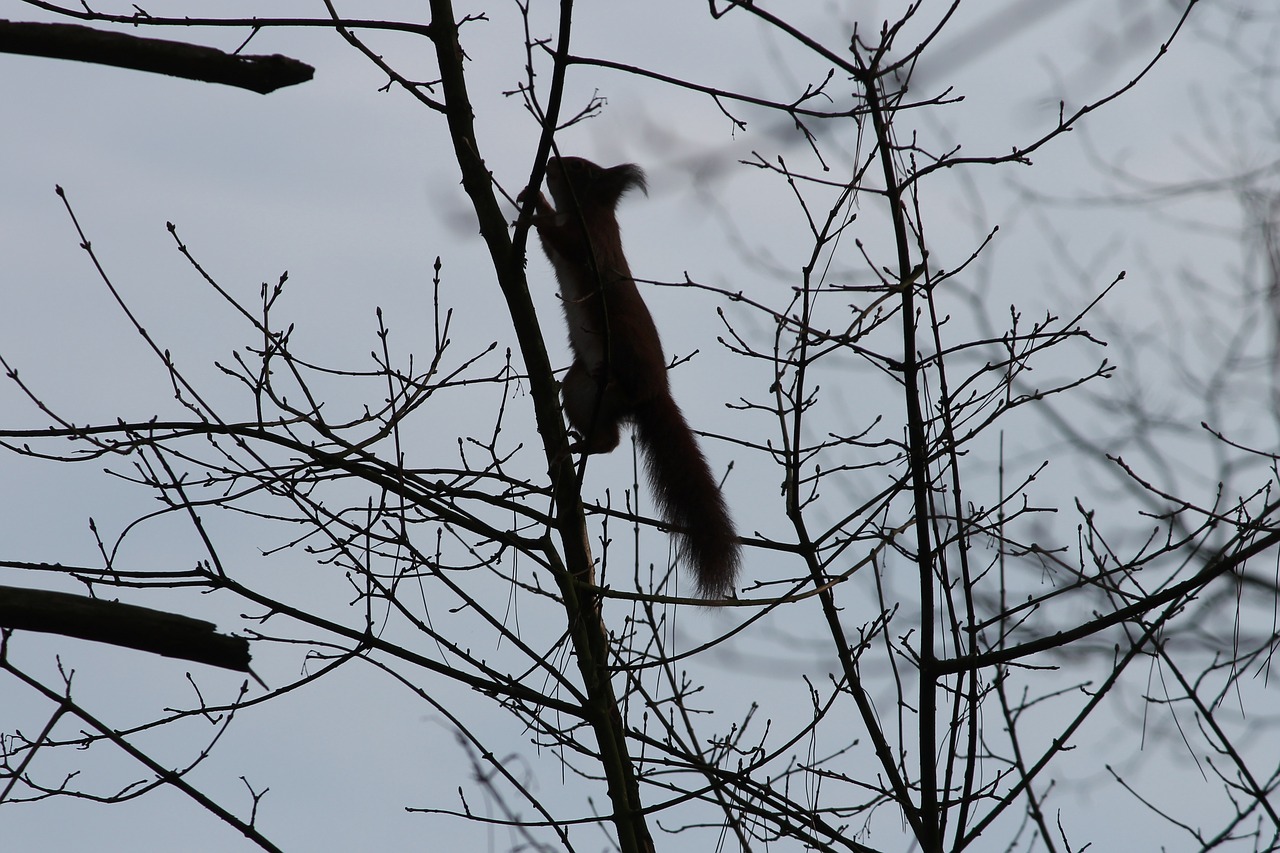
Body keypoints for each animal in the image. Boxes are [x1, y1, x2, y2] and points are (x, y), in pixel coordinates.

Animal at [522, 156, 742, 594]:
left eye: (579, 167)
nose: (551, 161)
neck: (583, 211)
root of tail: (654, 393)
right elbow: (553, 250)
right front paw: (533, 200)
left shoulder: (593, 240)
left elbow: (567, 245)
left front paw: (535, 213)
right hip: (580, 389)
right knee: (610, 439)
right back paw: (581, 445)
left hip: (622, 352)